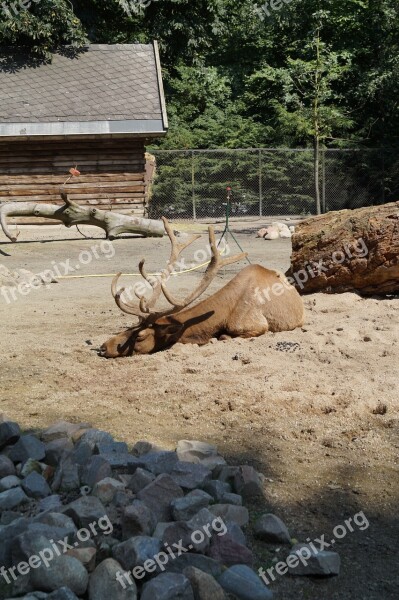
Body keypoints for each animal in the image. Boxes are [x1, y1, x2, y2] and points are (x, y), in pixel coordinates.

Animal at [99, 219, 304, 356]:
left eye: (141, 336)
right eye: (130, 326)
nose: (102, 347)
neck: (224, 313)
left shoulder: (257, 325)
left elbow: (223, 337)